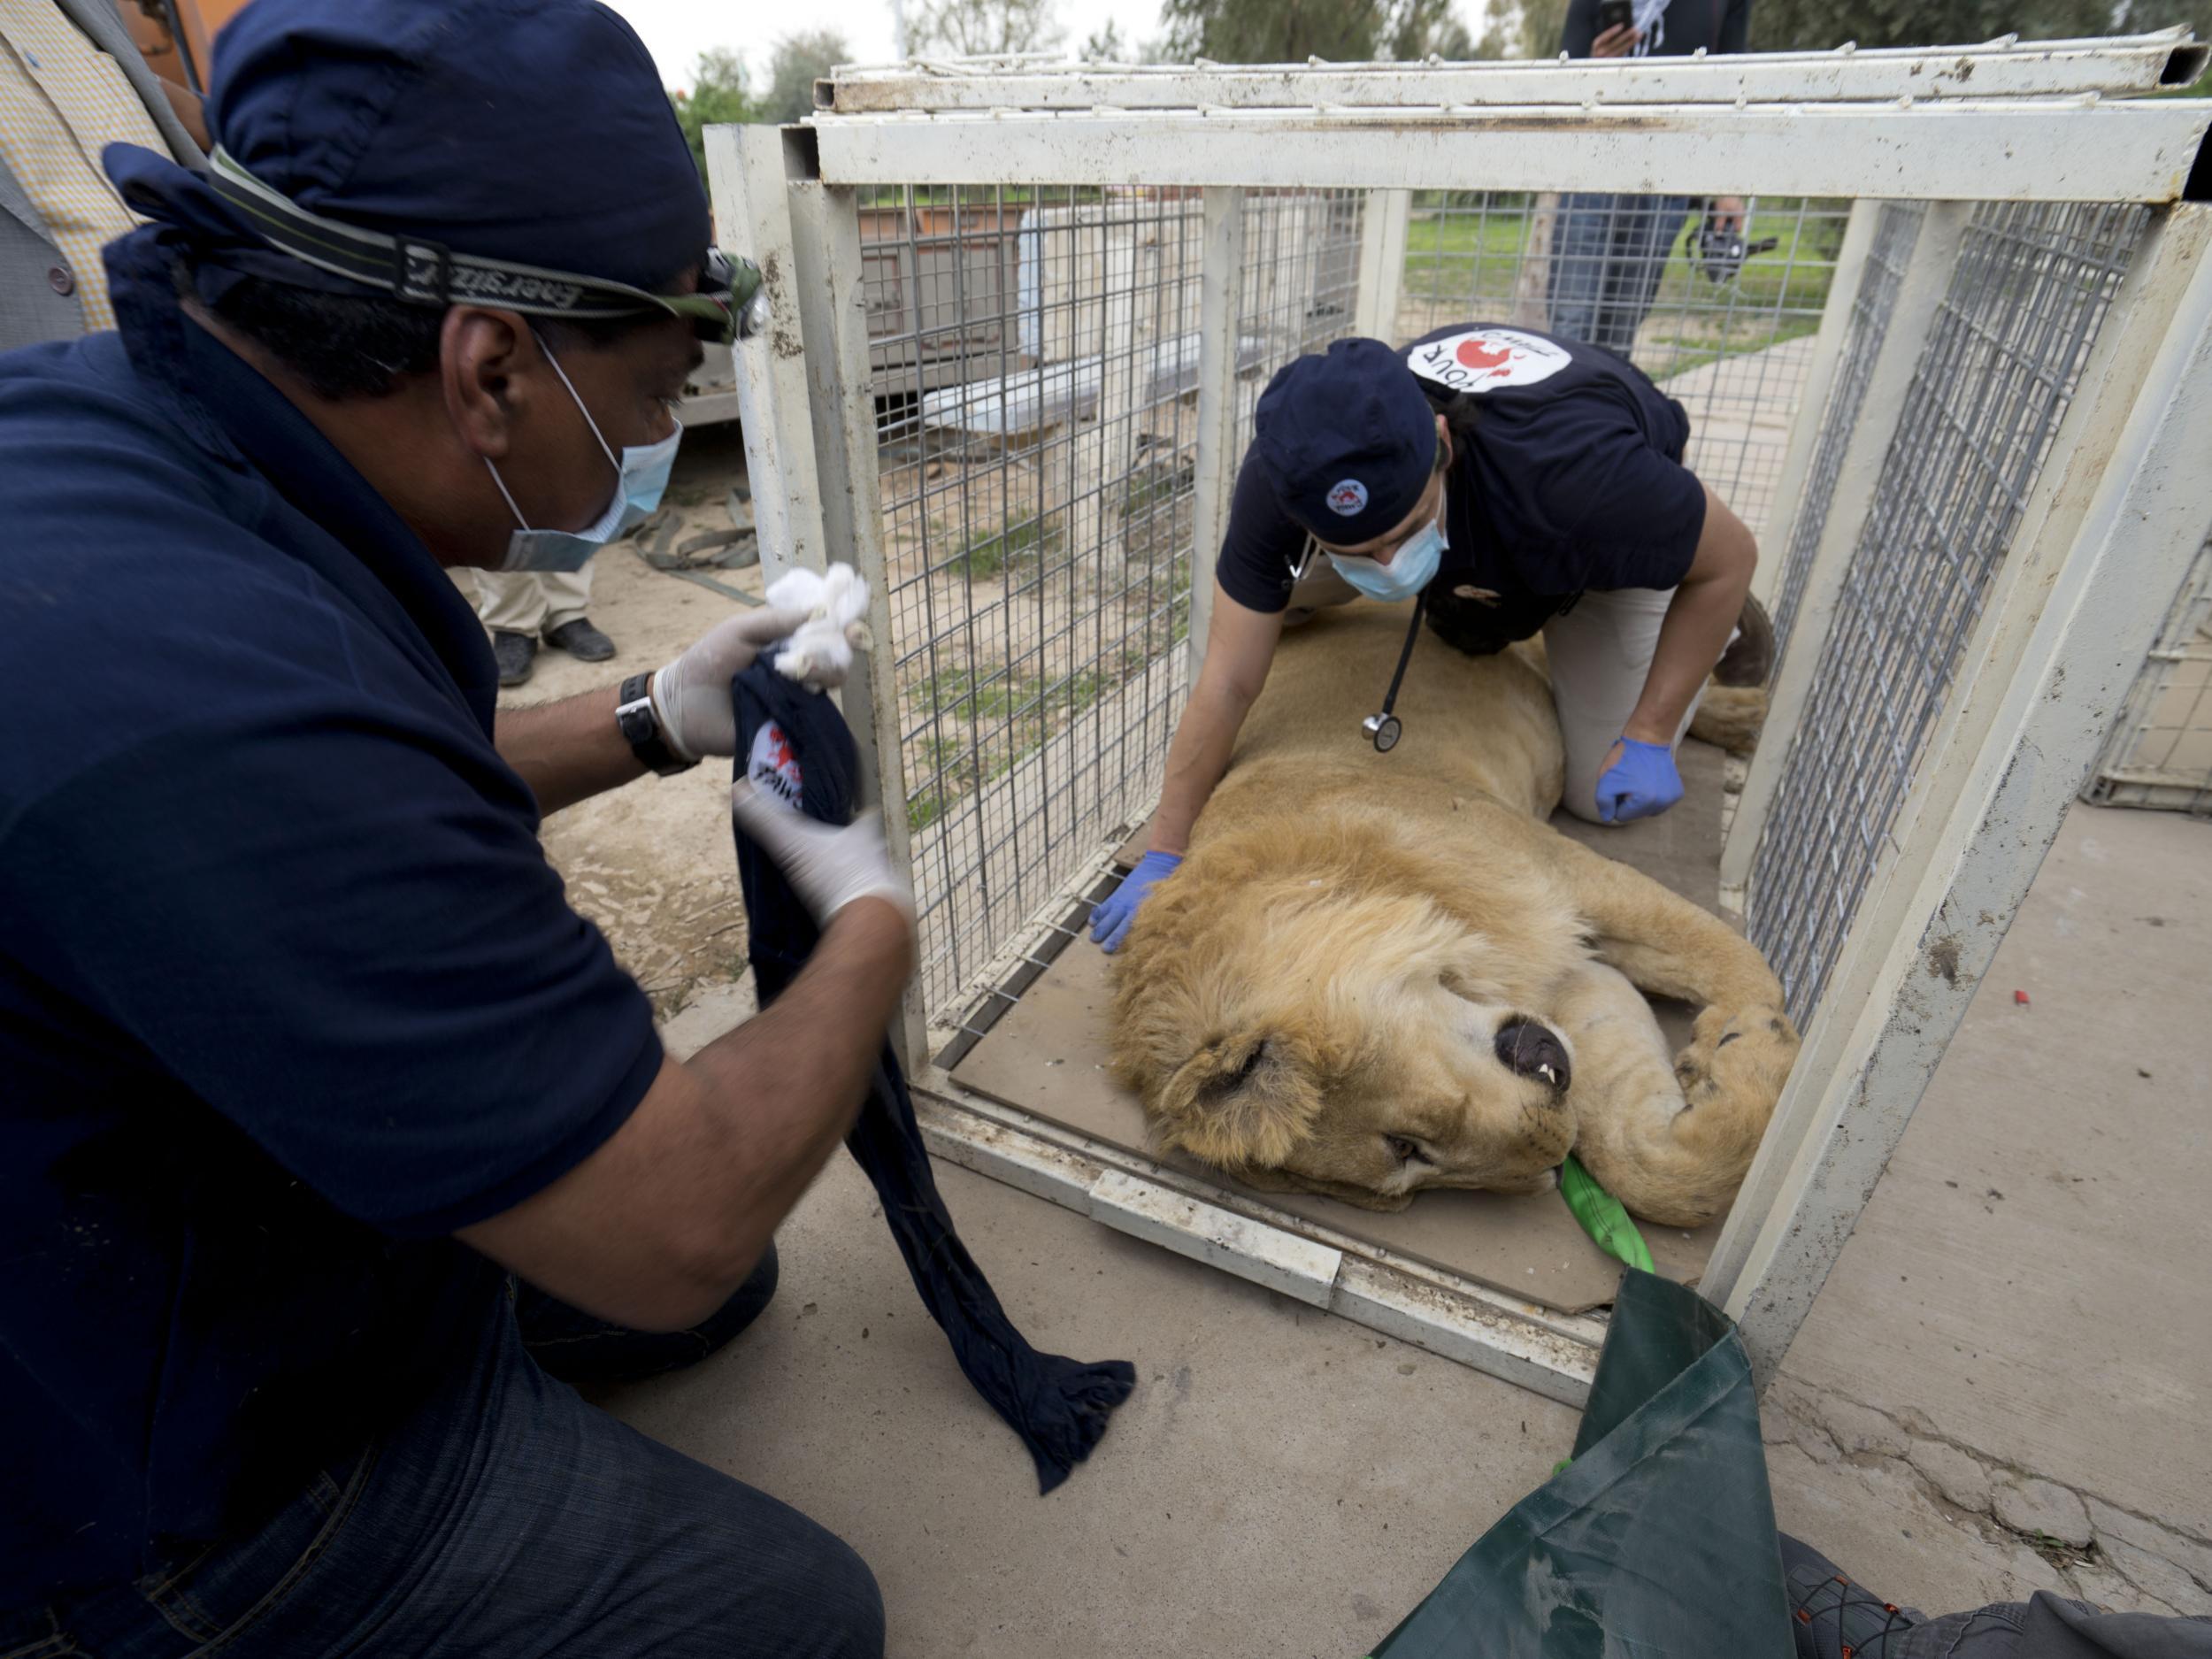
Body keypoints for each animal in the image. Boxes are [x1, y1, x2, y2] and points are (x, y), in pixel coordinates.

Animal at [1115, 606, 1805, 1230]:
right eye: (1412, 1160)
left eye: (1401, 1142)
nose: (1553, 1158)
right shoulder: (1570, 987)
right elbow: (1646, 1168)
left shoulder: (1566, 877)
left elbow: (1740, 960)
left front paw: (1750, 1035)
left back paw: (1743, 708)